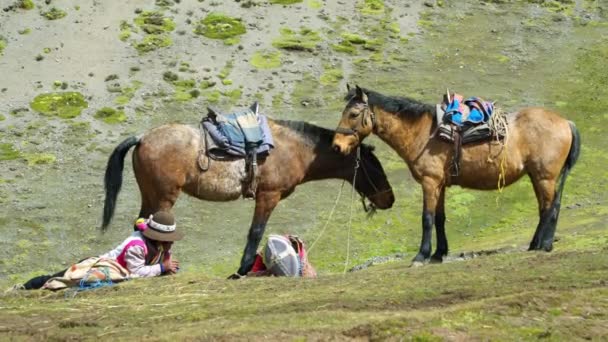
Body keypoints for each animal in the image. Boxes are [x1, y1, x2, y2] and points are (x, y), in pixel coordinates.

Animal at [101, 119, 394, 276]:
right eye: (375, 167)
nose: (389, 199)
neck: (295, 150)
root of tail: (142, 138)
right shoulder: (268, 196)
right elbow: (255, 232)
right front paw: (242, 269)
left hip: (150, 194)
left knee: (141, 225)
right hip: (164, 197)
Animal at [334, 85, 580, 264]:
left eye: (353, 114)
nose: (336, 146)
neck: (423, 133)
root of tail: (566, 122)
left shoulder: (429, 182)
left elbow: (427, 218)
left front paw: (421, 255)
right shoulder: (439, 184)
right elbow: (440, 218)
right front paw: (438, 254)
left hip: (544, 177)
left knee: (550, 208)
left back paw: (544, 245)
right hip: (537, 177)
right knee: (545, 207)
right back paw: (535, 244)